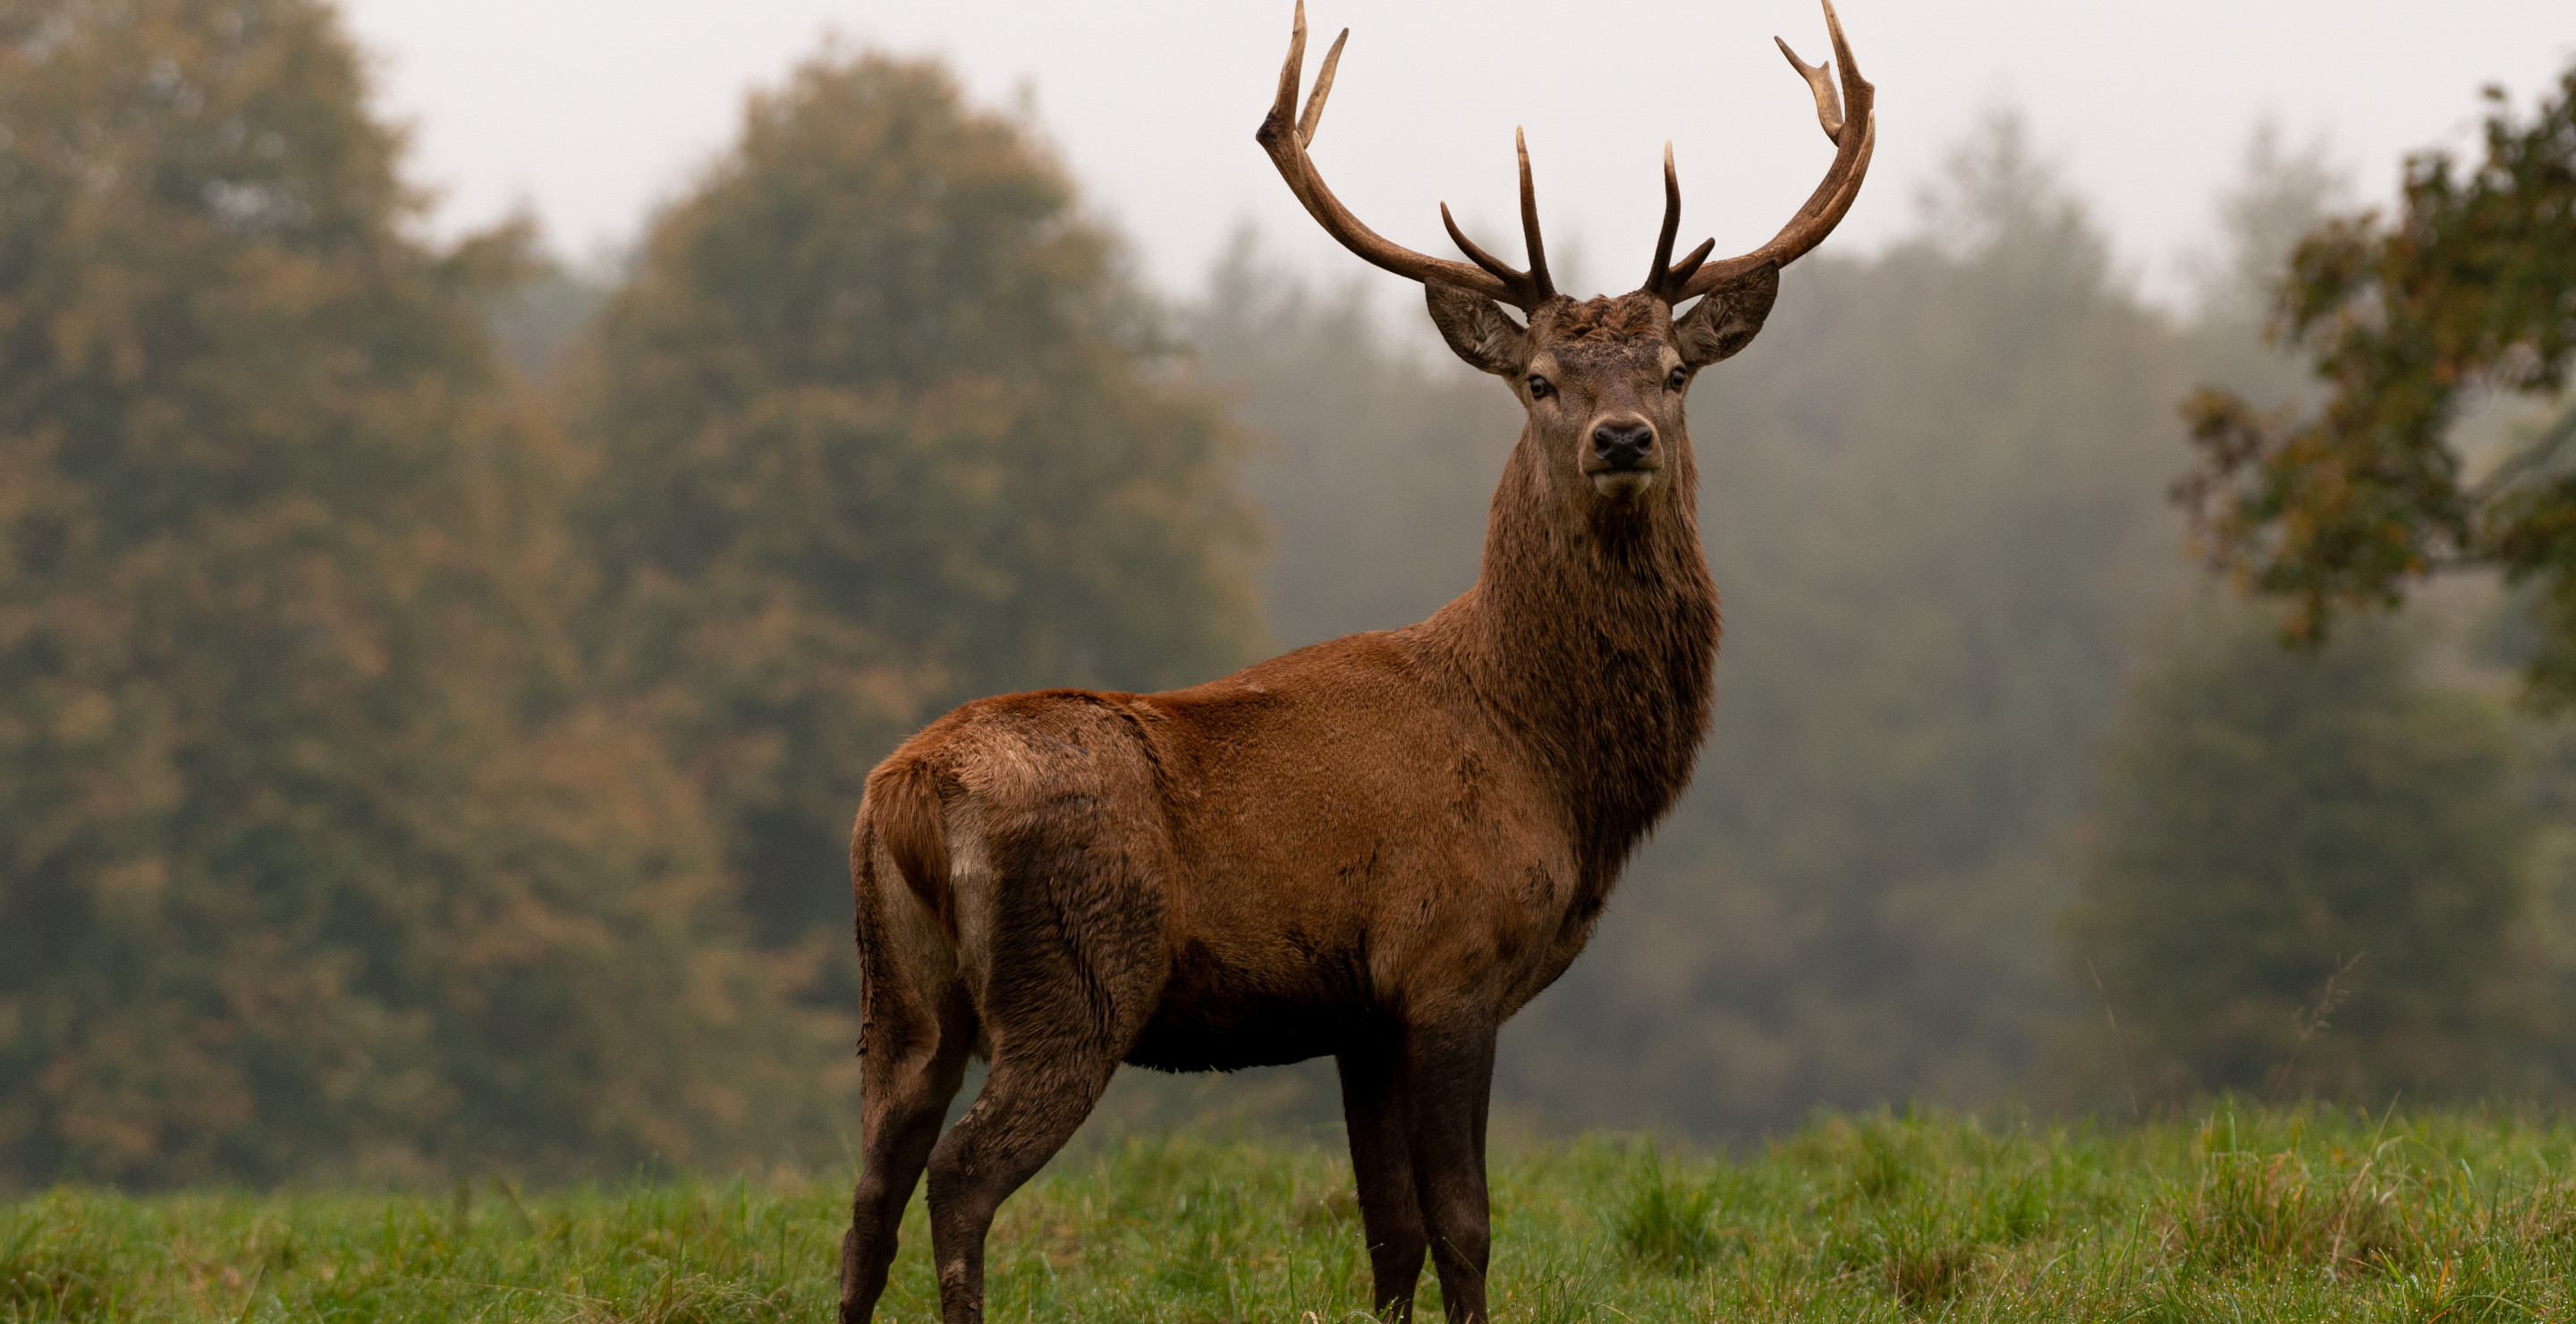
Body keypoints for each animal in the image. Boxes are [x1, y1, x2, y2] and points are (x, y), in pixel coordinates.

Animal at [844, 4, 1875, 1313]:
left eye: (1676, 373)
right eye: (1540, 380)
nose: (1622, 437)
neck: (1550, 761)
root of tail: (904, 797)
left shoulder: (1358, 1013)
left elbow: (1388, 1229)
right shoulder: (1448, 961)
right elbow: (1463, 1221)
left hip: (899, 996)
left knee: (871, 1187)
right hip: (1072, 977)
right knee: (962, 1176)